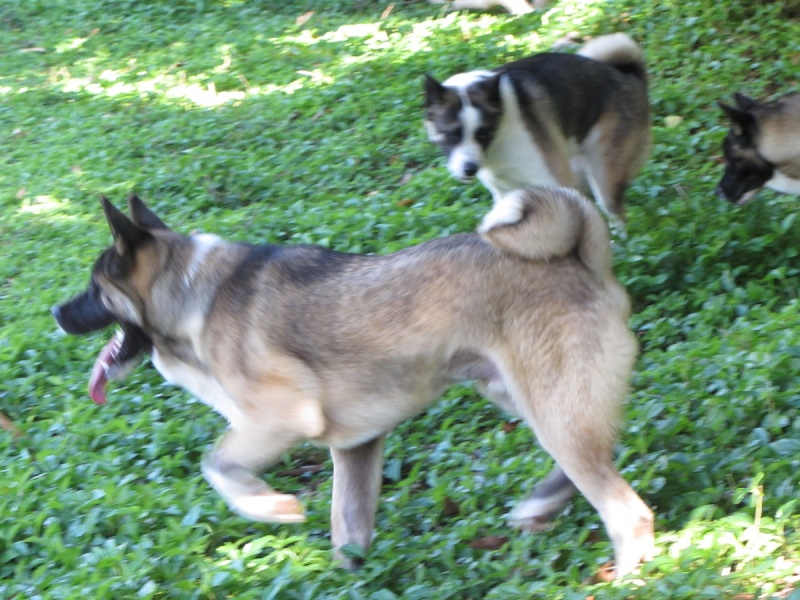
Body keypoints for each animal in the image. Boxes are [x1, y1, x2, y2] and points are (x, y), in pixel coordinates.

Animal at [53, 189, 652, 576]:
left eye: (94, 287)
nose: (57, 314)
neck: (191, 289)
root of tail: (581, 257)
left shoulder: (281, 417)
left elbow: (217, 467)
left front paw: (270, 507)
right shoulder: (357, 447)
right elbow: (348, 530)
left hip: (551, 407)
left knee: (627, 510)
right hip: (530, 398)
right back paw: (541, 506)